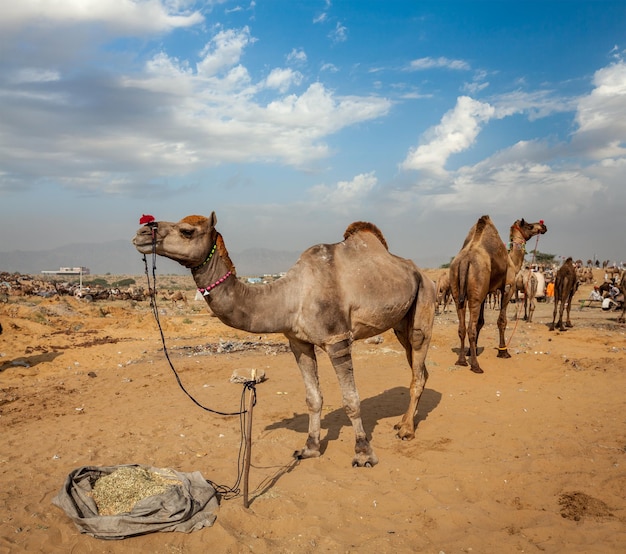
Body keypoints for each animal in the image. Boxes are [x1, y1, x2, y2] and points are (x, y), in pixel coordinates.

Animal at [132, 211, 434, 466]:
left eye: (186, 231)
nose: (142, 232)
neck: (291, 295)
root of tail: (421, 272)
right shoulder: (298, 342)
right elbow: (313, 398)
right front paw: (309, 448)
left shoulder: (337, 340)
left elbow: (351, 400)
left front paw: (363, 453)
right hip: (400, 324)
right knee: (419, 368)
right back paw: (401, 422)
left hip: (424, 302)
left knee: (418, 366)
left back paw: (407, 430)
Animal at [448, 215, 544, 370]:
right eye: (529, 226)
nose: (543, 226)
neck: (512, 262)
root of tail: (465, 261)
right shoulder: (508, 287)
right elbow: (502, 321)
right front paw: (503, 351)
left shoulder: (485, 292)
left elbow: (480, 322)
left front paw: (471, 351)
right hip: (476, 290)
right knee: (470, 328)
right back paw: (475, 366)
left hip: (458, 289)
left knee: (462, 327)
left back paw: (462, 361)